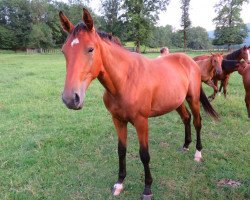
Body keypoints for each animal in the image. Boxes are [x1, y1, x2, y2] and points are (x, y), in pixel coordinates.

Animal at [58, 8, 219, 199]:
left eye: (90, 49)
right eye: (64, 51)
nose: (70, 98)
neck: (125, 81)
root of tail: (191, 61)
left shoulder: (142, 122)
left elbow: (144, 154)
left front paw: (147, 188)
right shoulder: (118, 120)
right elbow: (121, 150)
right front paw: (119, 183)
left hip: (192, 99)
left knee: (197, 122)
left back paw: (197, 153)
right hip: (177, 102)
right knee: (186, 118)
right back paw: (186, 145)